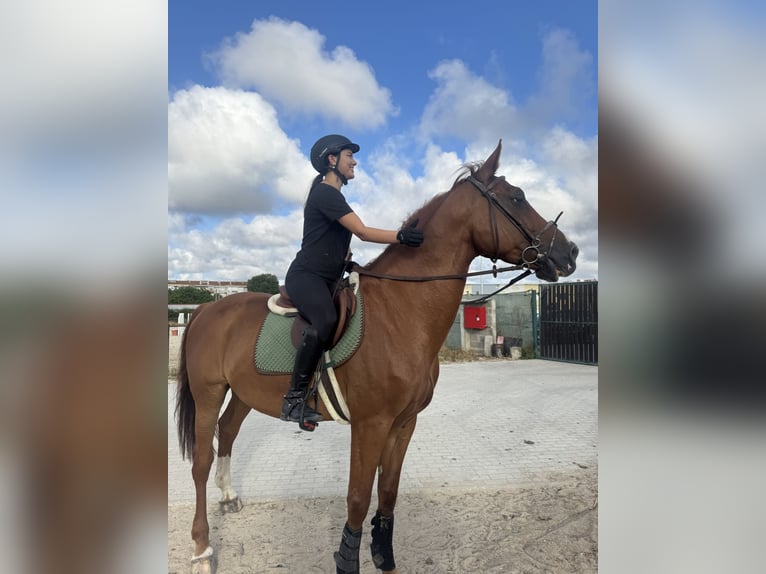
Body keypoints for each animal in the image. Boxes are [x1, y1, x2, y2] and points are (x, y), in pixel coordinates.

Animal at [175, 140, 579, 573]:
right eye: (517, 197)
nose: (570, 251)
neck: (401, 311)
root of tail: (205, 308)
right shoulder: (370, 425)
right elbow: (357, 498)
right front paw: (347, 560)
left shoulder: (403, 424)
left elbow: (388, 493)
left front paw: (385, 557)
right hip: (208, 393)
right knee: (200, 462)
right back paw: (202, 550)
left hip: (242, 393)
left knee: (229, 431)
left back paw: (228, 497)